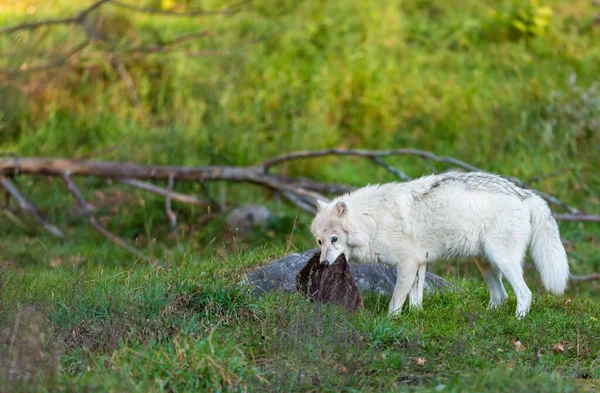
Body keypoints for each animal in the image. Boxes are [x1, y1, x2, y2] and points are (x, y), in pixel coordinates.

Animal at [312, 172, 568, 318]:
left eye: (335, 239)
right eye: (320, 241)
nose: (323, 264)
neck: (374, 221)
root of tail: (524, 193)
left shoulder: (407, 265)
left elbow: (395, 302)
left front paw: (390, 322)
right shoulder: (420, 265)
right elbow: (416, 301)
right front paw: (416, 318)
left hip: (503, 260)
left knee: (525, 294)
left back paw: (518, 322)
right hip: (485, 263)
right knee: (501, 296)